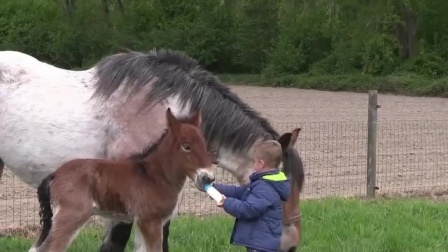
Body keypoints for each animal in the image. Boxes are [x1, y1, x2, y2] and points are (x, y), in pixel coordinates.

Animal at [29, 108, 215, 252]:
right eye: (186, 146)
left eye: (204, 145)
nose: (208, 178)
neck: (156, 175)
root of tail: (55, 174)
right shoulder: (151, 221)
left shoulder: (142, 222)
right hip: (72, 215)